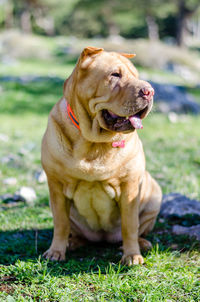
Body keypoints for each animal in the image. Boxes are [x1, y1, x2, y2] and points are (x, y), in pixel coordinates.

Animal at [41, 46, 162, 266]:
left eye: (137, 76)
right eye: (115, 75)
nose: (149, 91)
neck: (94, 141)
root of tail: (103, 238)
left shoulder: (129, 187)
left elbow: (130, 225)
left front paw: (132, 255)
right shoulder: (56, 186)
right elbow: (60, 224)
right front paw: (55, 252)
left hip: (154, 195)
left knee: (138, 228)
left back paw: (142, 244)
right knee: (72, 229)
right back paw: (73, 242)